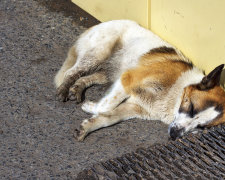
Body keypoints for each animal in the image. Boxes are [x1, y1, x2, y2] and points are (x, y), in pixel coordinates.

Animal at [55, 19, 225, 141]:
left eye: (202, 127)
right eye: (191, 108)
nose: (174, 135)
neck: (177, 92)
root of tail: (99, 24)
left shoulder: (135, 107)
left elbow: (110, 117)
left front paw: (87, 127)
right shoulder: (128, 79)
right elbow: (105, 107)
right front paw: (90, 107)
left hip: (109, 73)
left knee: (88, 77)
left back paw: (77, 88)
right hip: (99, 54)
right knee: (72, 72)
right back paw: (64, 89)